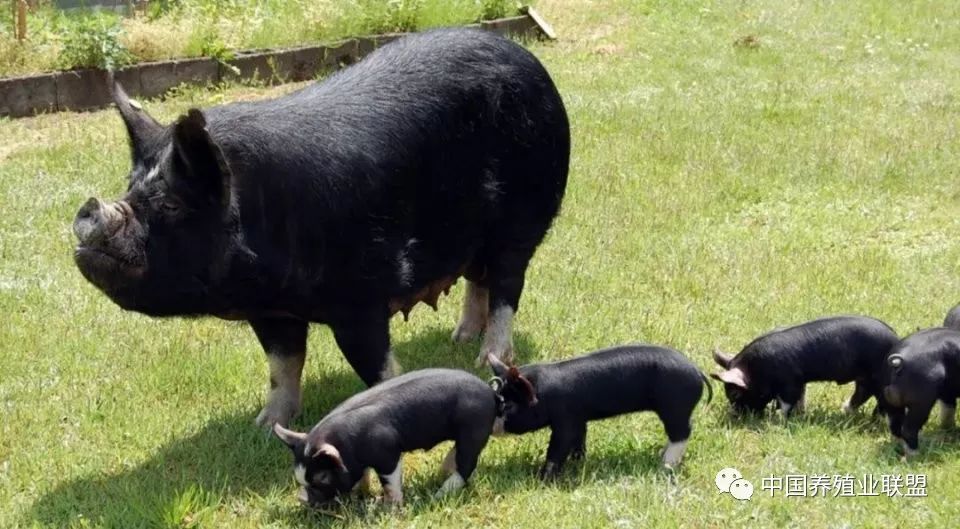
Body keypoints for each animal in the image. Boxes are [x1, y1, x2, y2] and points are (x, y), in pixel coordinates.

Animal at [77, 27, 568, 424]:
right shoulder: (270, 312)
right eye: (130, 189)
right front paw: (264, 424)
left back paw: (486, 357)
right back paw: (459, 338)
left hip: (523, 221)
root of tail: (529, 61)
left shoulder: (362, 295)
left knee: (506, 287)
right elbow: (282, 366)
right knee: (477, 278)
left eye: (172, 204)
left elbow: (374, 364)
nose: (88, 212)